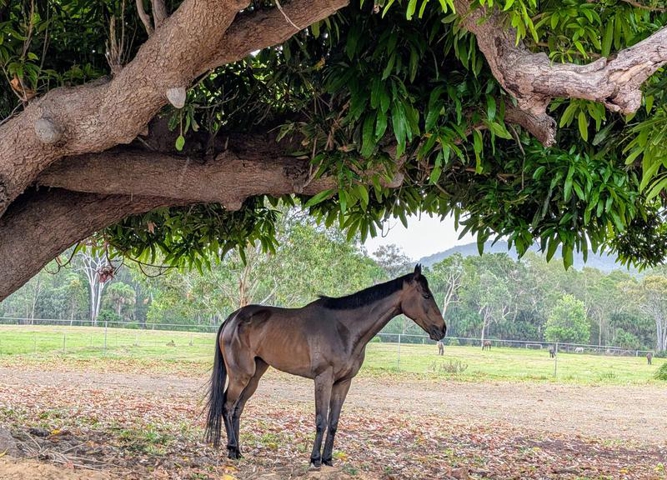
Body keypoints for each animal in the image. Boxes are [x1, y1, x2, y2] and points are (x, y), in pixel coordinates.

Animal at [205, 265, 446, 467]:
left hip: (255, 376)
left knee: (237, 409)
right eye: (426, 295)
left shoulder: (343, 383)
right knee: (227, 405)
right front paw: (314, 459)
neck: (344, 329)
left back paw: (237, 452)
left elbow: (333, 422)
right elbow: (321, 420)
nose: (442, 329)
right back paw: (232, 448)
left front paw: (328, 459)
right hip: (240, 375)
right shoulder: (323, 379)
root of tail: (232, 319)